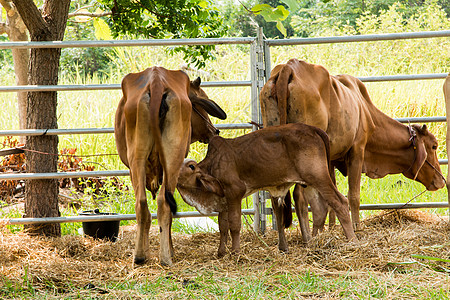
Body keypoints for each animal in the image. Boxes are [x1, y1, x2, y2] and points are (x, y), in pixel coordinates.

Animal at [114, 67, 227, 264]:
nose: (215, 130)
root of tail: (156, 81)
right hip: (168, 159)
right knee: (159, 203)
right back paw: (161, 256)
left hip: (140, 158)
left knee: (146, 204)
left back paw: (144, 255)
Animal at [176, 123, 356, 256]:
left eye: (191, 166)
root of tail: (313, 129)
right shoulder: (223, 200)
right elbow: (222, 226)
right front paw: (221, 253)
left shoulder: (234, 192)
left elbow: (234, 224)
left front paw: (235, 252)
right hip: (309, 183)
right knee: (319, 209)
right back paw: (313, 243)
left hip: (318, 177)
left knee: (340, 202)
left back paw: (352, 241)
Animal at [260, 59, 446, 241]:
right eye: (434, 145)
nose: (441, 180)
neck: (365, 109)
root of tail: (289, 67)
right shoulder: (357, 150)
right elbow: (353, 195)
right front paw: (357, 228)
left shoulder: (330, 159)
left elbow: (330, 198)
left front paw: (330, 229)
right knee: (299, 195)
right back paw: (307, 238)